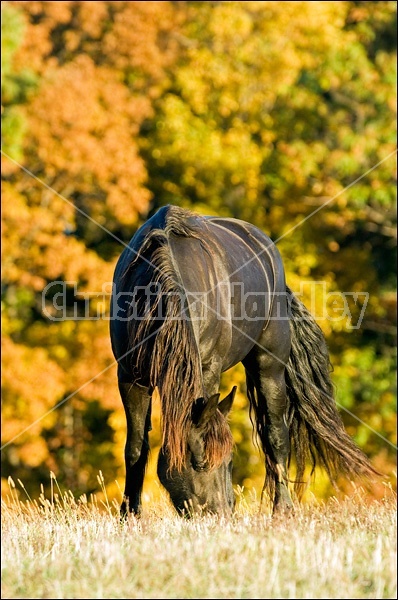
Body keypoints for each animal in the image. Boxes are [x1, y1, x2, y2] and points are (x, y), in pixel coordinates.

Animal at [109, 205, 376, 516]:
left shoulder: (208, 370)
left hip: (269, 368)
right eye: (200, 462)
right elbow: (135, 448)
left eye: (229, 461)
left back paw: (283, 509)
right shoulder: (130, 378)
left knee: (276, 435)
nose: (222, 515)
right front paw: (129, 515)